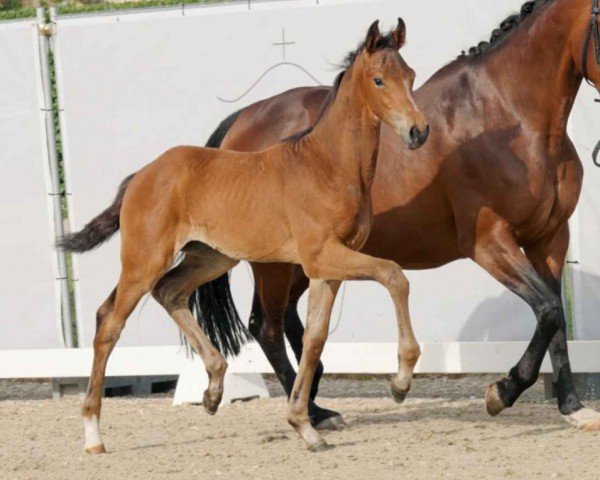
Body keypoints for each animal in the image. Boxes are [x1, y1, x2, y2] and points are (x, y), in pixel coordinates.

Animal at [59, 19, 426, 454]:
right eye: (378, 80)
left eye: (411, 75)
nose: (418, 132)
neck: (327, 165)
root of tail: (140, 176)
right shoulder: (322, 256)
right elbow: (395, 276)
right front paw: (400, 383)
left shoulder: (327, 269)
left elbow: (315, 338)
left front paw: (305, 425)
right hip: (144, 260)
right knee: (110, 322)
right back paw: (93, 434)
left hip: (210, 258)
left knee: (169, 292)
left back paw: (214, 388)